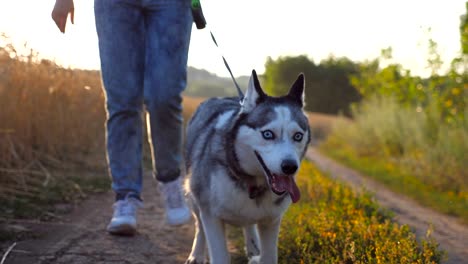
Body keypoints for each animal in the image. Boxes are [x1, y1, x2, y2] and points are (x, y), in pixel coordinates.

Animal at [184, 70, 310, 264]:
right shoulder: (211, 215)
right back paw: (196, 254)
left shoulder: (272, 221)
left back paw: (253, 246)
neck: (252, 183)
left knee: (248, 223)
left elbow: (269, 257)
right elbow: (217, 250)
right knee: (200, 226)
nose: (290, 167)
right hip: (194, 195)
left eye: (298, 136)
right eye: (268, 134)